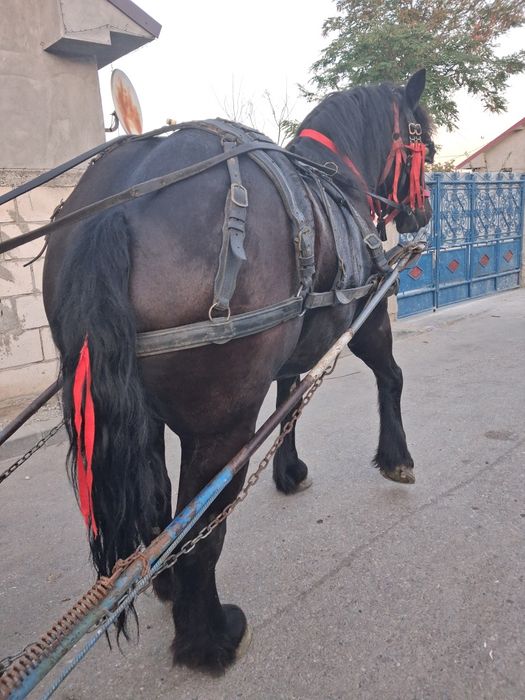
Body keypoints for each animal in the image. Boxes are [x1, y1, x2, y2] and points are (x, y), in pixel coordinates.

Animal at [42, 69, 434, 673]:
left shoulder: (296, 342)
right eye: (428, 148)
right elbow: (390, 377)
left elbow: (291, 402)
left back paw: (167, 588)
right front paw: (397, 458)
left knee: (162, 508)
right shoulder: (365, 317)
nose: (424, 211)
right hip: (221, 425)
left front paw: (289, 470)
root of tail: (118, 206)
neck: (338, 181)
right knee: (201, 528)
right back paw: (208, 637)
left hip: (135, 411)